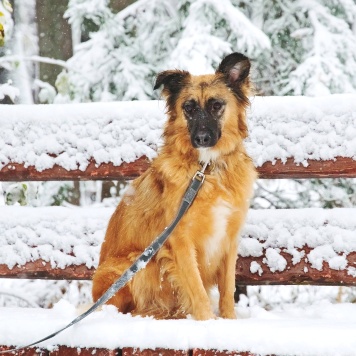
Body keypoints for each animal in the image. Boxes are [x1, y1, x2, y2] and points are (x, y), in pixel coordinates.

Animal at [92, 52, 256, 320]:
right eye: (188, 108)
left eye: (216, 105)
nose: (201, 138)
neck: (206, 170)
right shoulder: (180, 240)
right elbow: (197, 291)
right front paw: (208, 322)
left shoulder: (229, 240)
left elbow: (227, 291)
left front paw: (228, 321)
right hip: (134, 264)